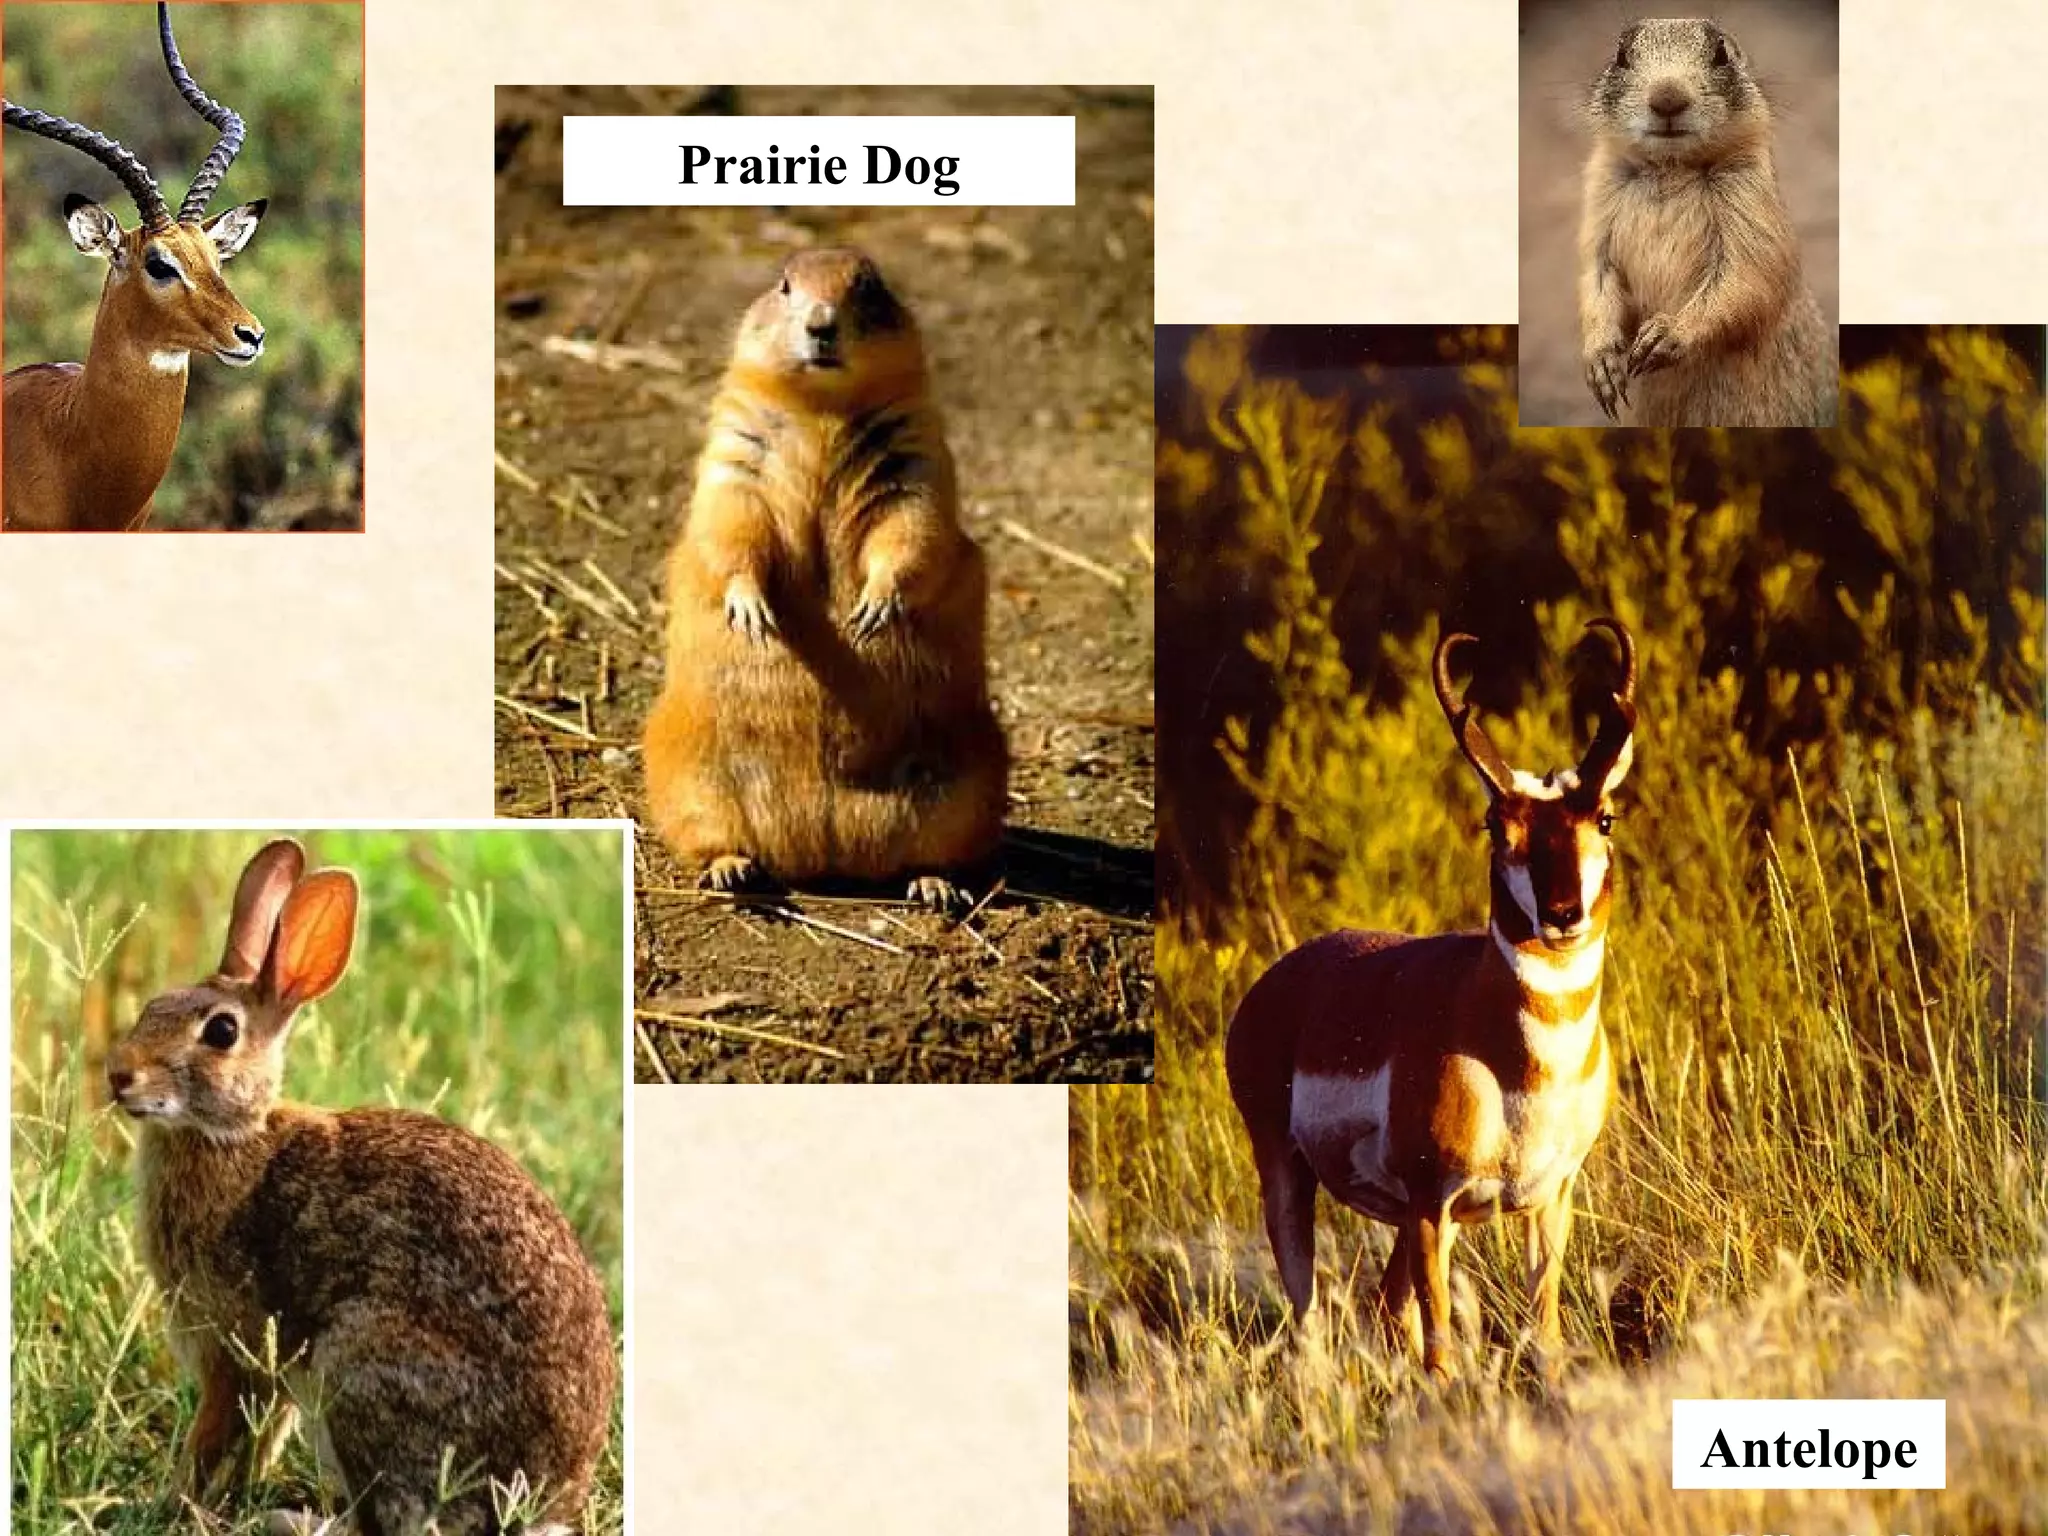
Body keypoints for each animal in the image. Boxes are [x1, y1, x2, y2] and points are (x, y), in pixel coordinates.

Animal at [1224, 618, 1637, 1382]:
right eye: (1495, 826)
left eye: (1605, 816)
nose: (1562, 915)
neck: (1515, 1063)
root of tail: (1279, 980)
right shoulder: (1428, 1201)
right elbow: (1440, 1350)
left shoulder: (1549, 1199)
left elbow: (1545, 1333)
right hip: (1289, 1179)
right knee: (1309, 1322)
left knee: (1382, 1311)